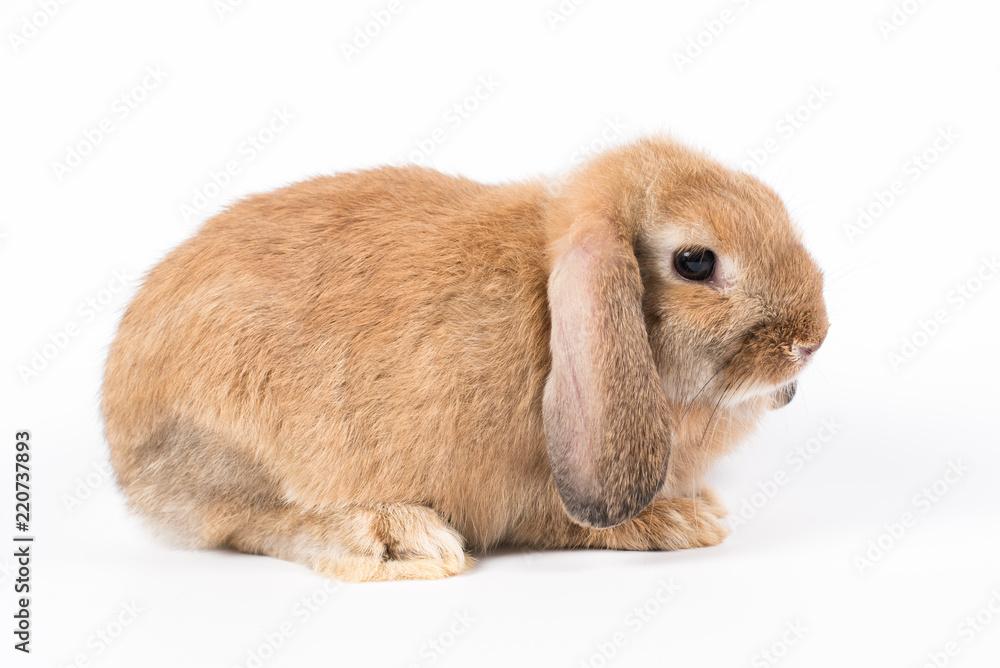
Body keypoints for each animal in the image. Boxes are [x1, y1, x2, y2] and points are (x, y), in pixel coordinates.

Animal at [101, 136, 828, 580]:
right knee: (252, 520)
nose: (810, 340)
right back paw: (393, 539)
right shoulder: (535, 494)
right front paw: (684, 521)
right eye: (695, 261)